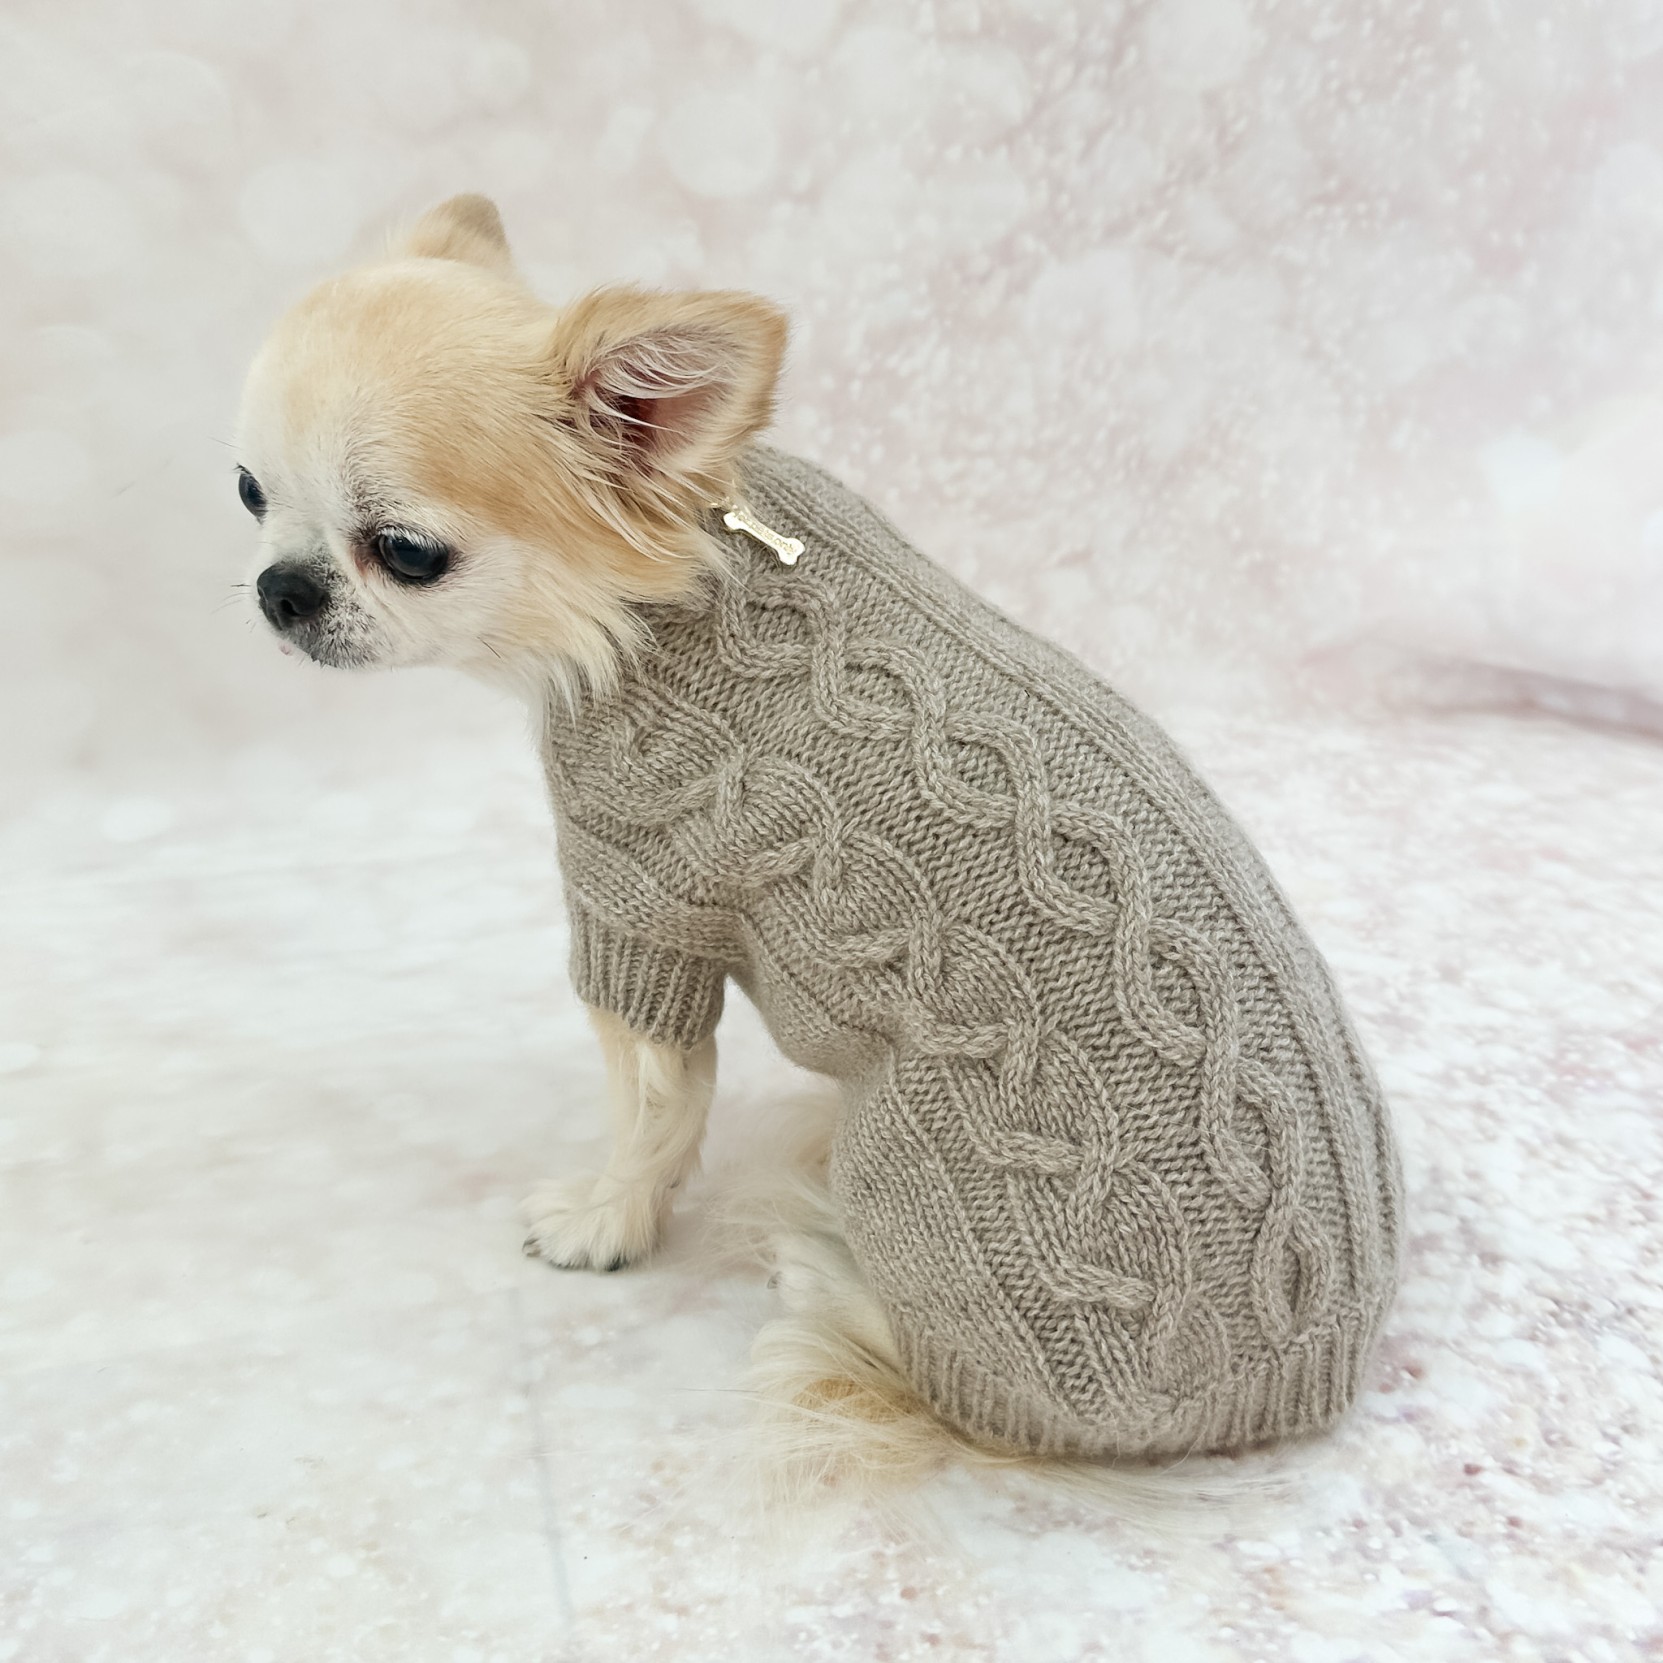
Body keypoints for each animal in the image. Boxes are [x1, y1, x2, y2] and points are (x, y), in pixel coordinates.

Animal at [238, 195, 1401, 1488]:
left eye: (405, 551)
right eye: (247, 493)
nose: (279, 589)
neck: (658, 585)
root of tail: (1293, 1389)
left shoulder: (640, 910)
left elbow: (652, 1112)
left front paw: (604, 1222)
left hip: (911, 1179)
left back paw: (821, 1269)